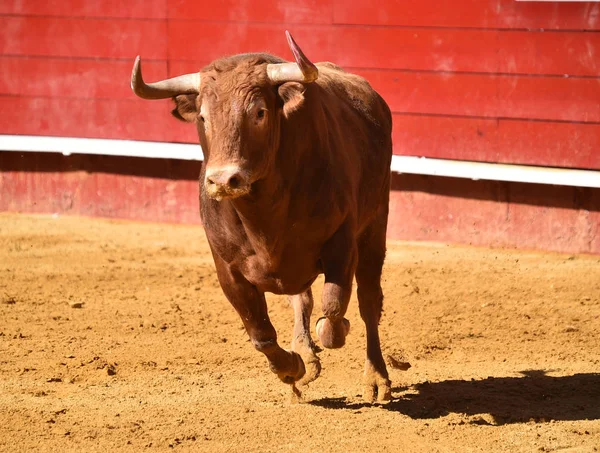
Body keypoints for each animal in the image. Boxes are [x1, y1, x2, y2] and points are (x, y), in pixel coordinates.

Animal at [131, 30, 394, 400]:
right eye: (203, 118)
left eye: (259, 112)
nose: (223, 180)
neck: (263, 216)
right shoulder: (227, 268)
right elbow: (260, 332)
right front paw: (293, 367)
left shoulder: (342, 242)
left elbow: (333, 307)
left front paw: (334, 331)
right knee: (302, 299)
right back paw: (304, 353)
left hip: (375, 224)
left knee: (368, 300)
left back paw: (376, 379)